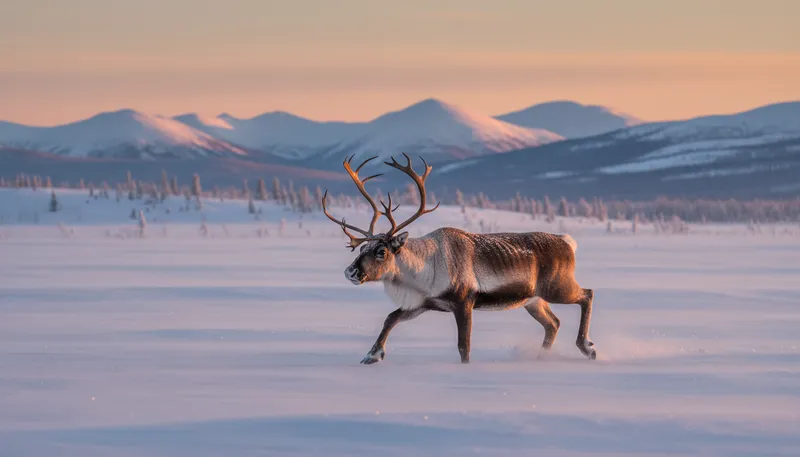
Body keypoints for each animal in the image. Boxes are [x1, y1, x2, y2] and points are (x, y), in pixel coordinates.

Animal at [322, 153, 597, 365]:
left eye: (382, 251)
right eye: (361, 248)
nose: (351, 272)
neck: (424, 269)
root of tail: (567, 242)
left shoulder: (464, 301)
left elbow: (464, 346)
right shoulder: (423, 303)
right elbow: (391, 318)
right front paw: (371, 355)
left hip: (557, 287)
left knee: (587, 294)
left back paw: (587, 347)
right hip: (533, 300)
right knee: (553, 324)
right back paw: (541, 358)